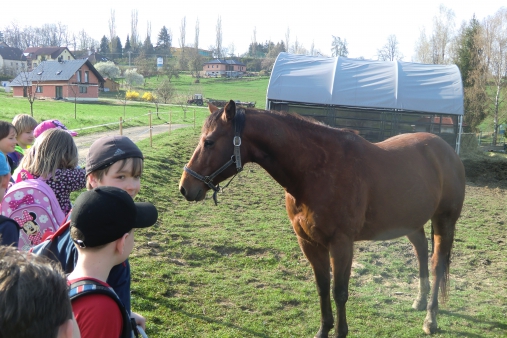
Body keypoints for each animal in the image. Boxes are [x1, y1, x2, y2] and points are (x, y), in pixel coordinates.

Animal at [180, 101, 468, 338]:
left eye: (209, 141)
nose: (185, 187)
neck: (316, 170)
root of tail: (446, 151)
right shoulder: (309, 242)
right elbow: (322, 287)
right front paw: (323, 330)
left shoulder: (341, 244)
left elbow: (340, 292)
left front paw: (340, 332)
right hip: (411, 222)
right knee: (421, 253)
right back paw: (419, 301)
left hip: (444, 221)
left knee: (437, 264)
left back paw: (430, 319)